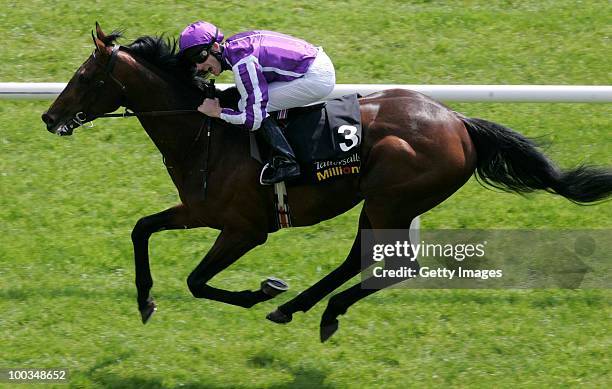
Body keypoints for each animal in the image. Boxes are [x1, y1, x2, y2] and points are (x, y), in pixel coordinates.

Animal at [40, 24, 608, 340]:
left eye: (85, 77)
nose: (49, 117)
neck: (206, 136)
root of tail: (459, 122)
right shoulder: (199, 211)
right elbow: (141, 229)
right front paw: (144, 301)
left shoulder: (245, 228)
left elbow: (197, 281)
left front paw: (261, 290)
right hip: (379, 203)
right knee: (358, 259)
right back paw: (300, 309)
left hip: (392, 197)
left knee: (398, 265)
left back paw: (312, 308)